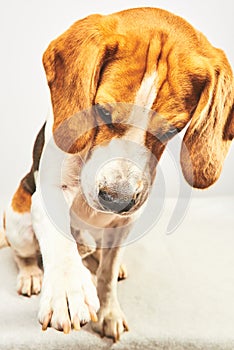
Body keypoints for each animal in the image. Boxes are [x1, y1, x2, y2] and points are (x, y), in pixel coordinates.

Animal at [0, 7, 234, 342]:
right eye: (102, 112)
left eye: (171, 131)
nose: (116, 200)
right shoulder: (47, 193)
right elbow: (60, 244)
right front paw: (67, 291)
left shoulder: (125, 223)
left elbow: (107, 275)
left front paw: (108, 311)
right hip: (18, 221)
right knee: (25, 253)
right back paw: (32, 274)